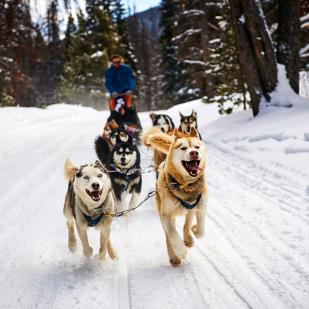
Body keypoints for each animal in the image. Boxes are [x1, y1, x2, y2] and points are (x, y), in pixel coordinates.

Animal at [144, 126, 207, 266]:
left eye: (197, 146)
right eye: (183, 148)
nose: (194, 153)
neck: (185, 186)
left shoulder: (201, 207)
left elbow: (200, 231)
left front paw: (194, 230)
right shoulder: (166, 215)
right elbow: (173, 235)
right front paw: (181, 251)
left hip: (190, 211)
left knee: (186, 224)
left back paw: (188, 238)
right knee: (168, 237)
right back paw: (174, 257)